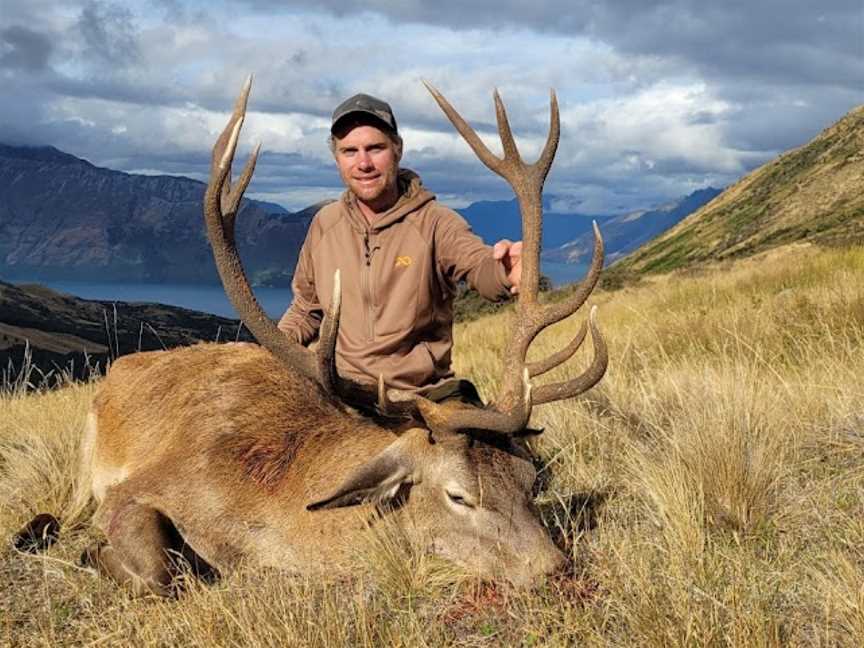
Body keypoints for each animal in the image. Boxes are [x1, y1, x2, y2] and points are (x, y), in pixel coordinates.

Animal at [15, 78, 608, 596]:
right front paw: (95, 553)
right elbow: (164, 571)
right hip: (84, 453)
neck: (270, 512)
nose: (556, 569)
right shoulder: (133, 490)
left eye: (530, 479)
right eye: (459, 496)